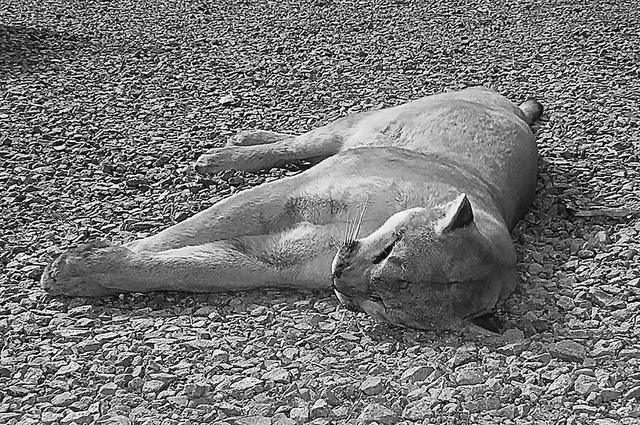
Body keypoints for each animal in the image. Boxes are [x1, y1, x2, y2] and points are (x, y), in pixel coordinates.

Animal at [41, 87, 543, 332]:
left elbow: (185, 268)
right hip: (359, 126)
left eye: (382, 304)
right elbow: (175, 238)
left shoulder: (274, 258)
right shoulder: (284, 195)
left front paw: (86, 272)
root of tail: (514, 107)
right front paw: (80, 264)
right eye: (388, 252)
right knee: (300, 141)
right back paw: (230, 151)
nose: (341, 278)